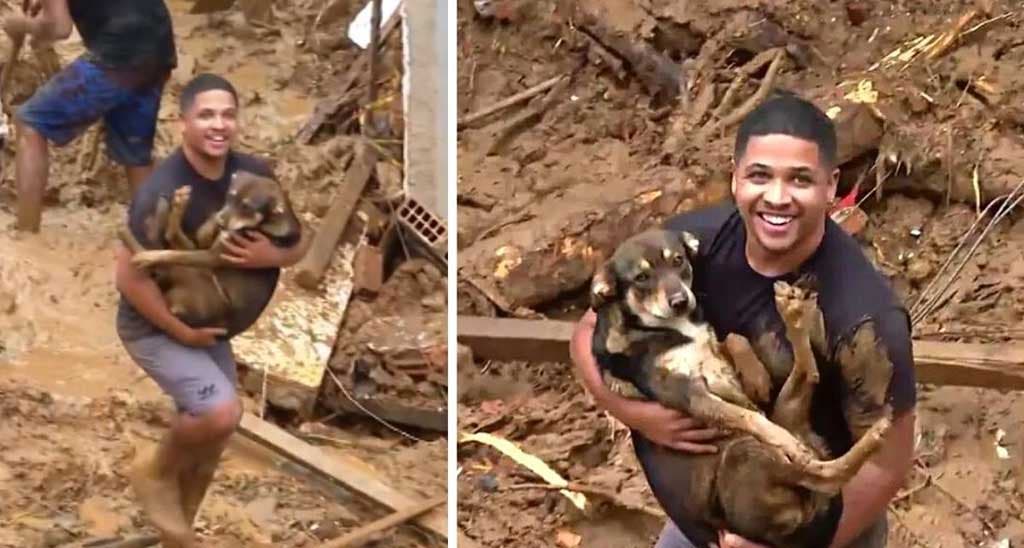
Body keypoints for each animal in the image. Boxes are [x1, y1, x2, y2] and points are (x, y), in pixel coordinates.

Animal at [120, 169, 301, 329]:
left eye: (247, 208)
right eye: (230, 196)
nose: (221, 222)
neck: (265, 224)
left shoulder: (215, 256)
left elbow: (172, 254)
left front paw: (148, 256)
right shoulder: (207, 243)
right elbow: (202, 234)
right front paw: (211, 223)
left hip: (193, 274)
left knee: (167, 248)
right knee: (172, 237)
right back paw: (174, 204)